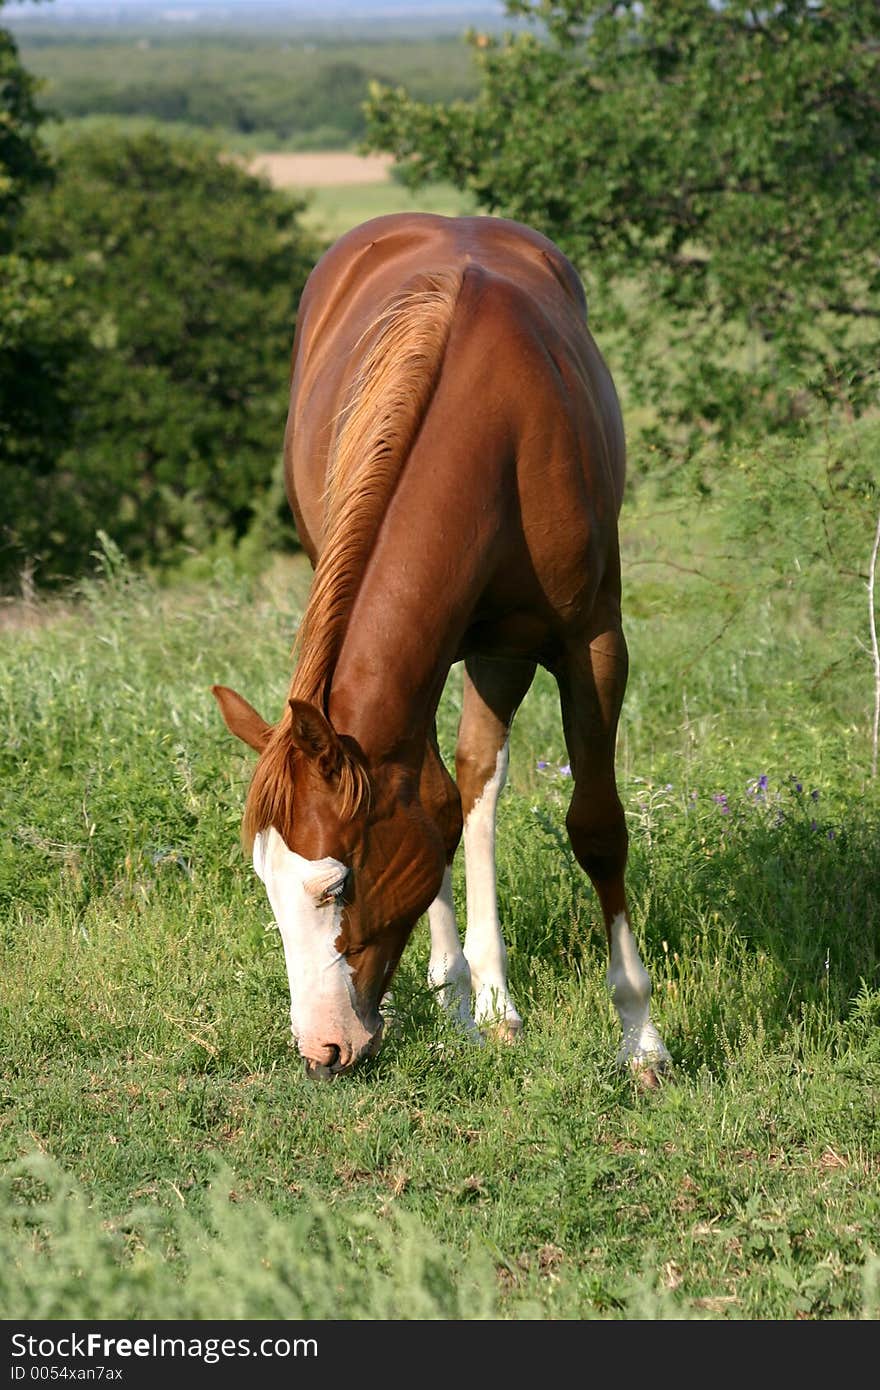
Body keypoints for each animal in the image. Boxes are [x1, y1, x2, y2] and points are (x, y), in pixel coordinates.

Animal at [211, 211, 664, 1078]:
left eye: (337, 886)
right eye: (268, 888)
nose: (321, 1049)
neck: (497, 428)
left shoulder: (591, 641)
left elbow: (595, 827)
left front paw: (642, 1040)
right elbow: (434, 804)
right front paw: (453, 997)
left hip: (501, 649)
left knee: (476, 782)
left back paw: (489, 999)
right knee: (454, 791)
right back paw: (467, 997)